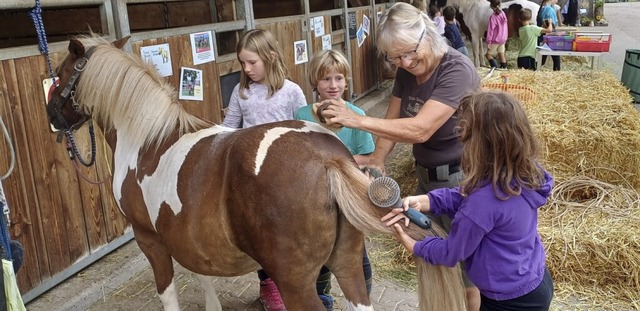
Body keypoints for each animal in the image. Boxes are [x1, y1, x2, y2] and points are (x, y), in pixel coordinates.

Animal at [45, 34, 464, 311]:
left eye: (61, 73)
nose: (51, 117)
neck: (148, 139)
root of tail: (327, 158)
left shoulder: (151, 241)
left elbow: (168, 293)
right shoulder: (184, 237)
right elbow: (202, 273)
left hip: (297, 283)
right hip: (346, 263)